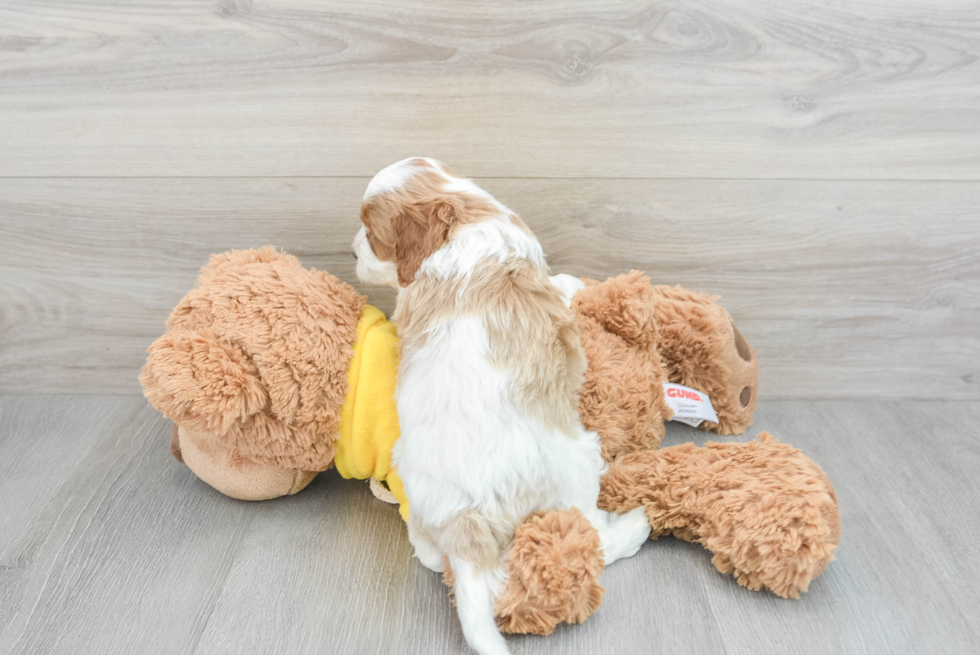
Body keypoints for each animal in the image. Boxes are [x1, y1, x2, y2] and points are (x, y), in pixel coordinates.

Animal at [352, 159, 652, 655]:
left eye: (371, 234)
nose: (352, 251)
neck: (463, 217)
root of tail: (466, 520)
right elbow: (559, 288)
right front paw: (572, 283)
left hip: (414, 485)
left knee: (428, 553)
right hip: (576, 463)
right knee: (593, 538)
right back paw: (636, 525)